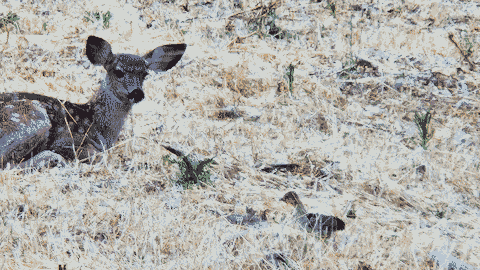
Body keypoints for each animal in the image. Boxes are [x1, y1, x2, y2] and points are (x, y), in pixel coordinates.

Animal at [0, 36, 187, 169]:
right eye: (118, 72)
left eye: (145, 74)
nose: (137, 93)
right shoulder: (66, 140)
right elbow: (97, 156)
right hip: (31, 120)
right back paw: (54, 159)